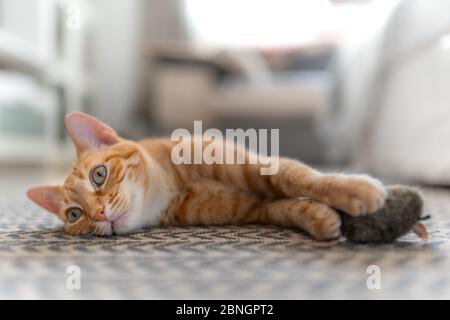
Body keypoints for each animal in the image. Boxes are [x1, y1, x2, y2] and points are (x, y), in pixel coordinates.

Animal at [26, 112, 384, 240]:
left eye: (98, 175)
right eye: (75, 214)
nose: (99, 214)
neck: (174, 187)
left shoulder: (260, 166)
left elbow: (300, 178)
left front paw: (354, 188)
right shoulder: (259, 208)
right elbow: (290, 206)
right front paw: (321, 216)